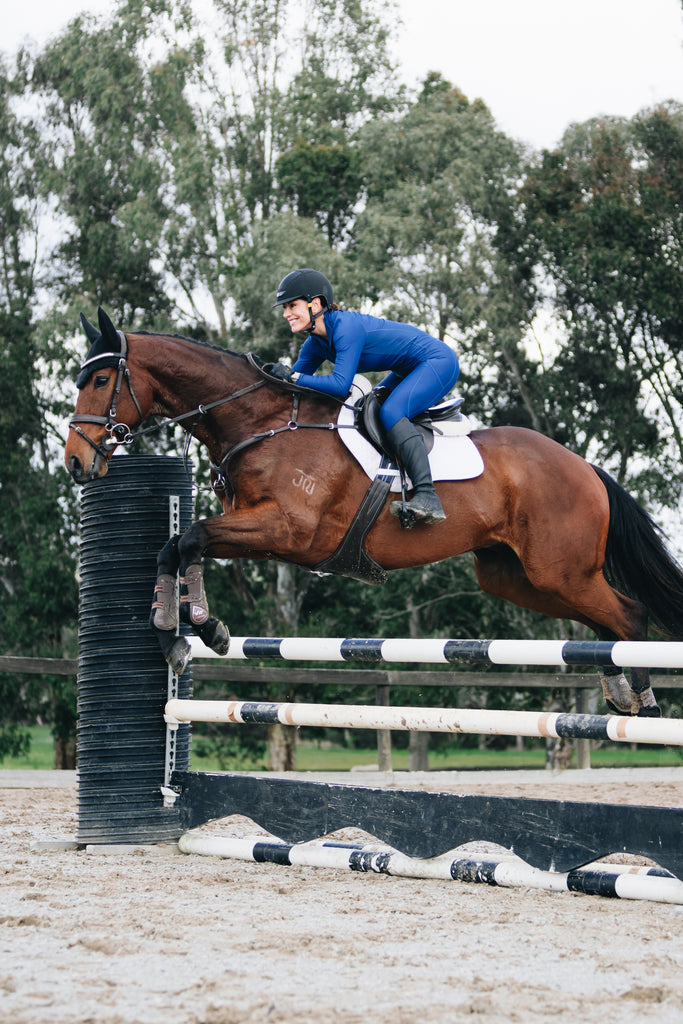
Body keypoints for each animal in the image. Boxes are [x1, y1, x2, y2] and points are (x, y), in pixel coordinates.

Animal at [62, 307, 683, 716]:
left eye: (100, 379)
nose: (74, 462)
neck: (261, 423)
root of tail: (585, 466)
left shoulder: (286, 529)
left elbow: (187, 538)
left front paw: (198, 628)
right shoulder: (262, 535)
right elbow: (176, 544)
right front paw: (179, 635)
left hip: (560, 569)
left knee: (628, 615)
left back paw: (645, 700)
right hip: (519, 576)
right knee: (603, 621)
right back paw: (619, 689)